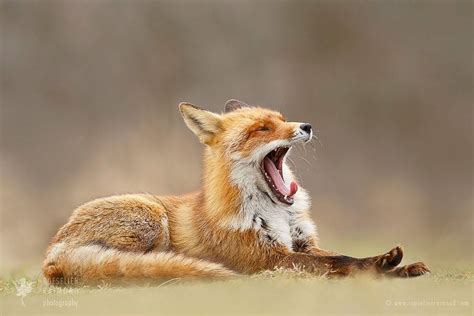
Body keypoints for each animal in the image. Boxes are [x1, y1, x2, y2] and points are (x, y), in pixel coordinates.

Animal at [43, 100, 430, 286]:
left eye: (282, 119)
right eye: (262, 129)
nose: (306, 125)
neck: (278, 213)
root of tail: (51, 253)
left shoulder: (302, 244)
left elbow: (342, 256)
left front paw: (395, 267)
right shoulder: (266, 257)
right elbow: (340, 262)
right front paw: (378, 266)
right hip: (150, 217)